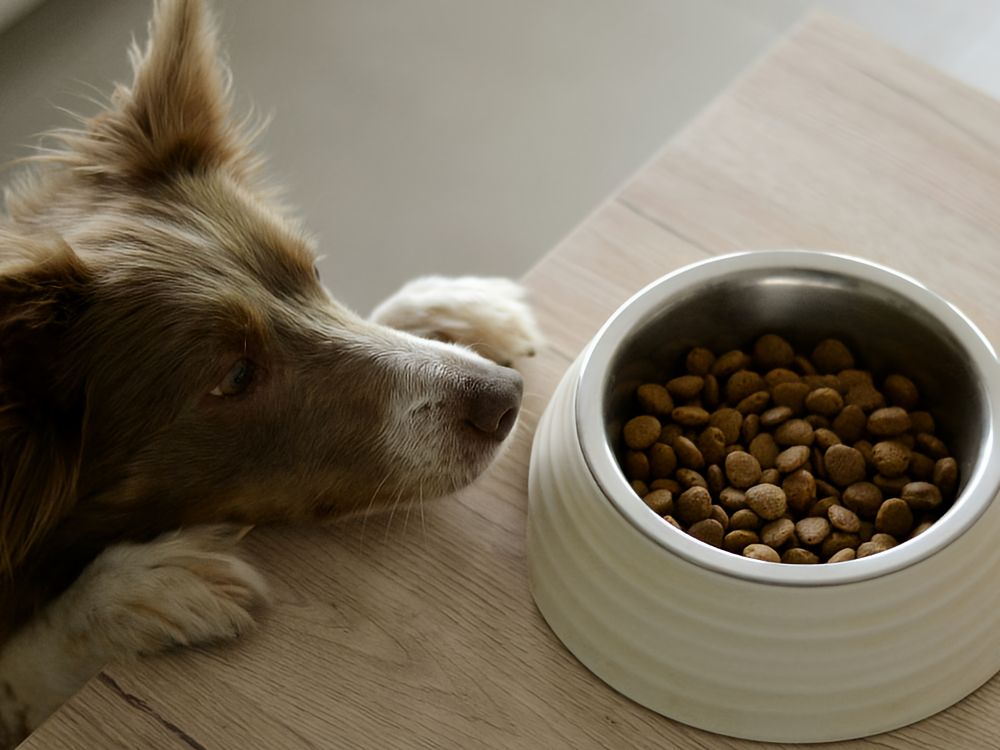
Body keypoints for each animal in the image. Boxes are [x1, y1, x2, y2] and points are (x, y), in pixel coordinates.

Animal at [0, 0, 540, 748]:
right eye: (234, 377)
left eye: (312, 272)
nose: (504, 400)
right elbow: (21, 666)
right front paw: (134, 590)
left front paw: (448, 307)